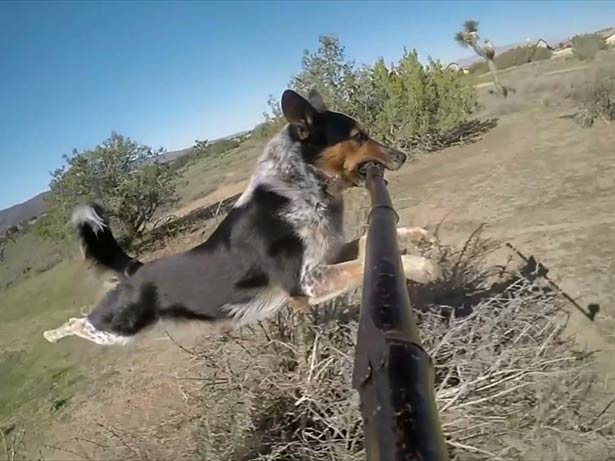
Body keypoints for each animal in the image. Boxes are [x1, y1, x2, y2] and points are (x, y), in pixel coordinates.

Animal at [43, 89, 440, 344]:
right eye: (358, 136)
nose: (402, 156)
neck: (300, 186)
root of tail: (135, 269)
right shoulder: (306, 284)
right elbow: (366, 265)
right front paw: (421, 266)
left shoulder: (329, 255)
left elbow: (370, 241)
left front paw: (418, 237)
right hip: (117, 326)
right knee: (79, 322)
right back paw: (53, 333)